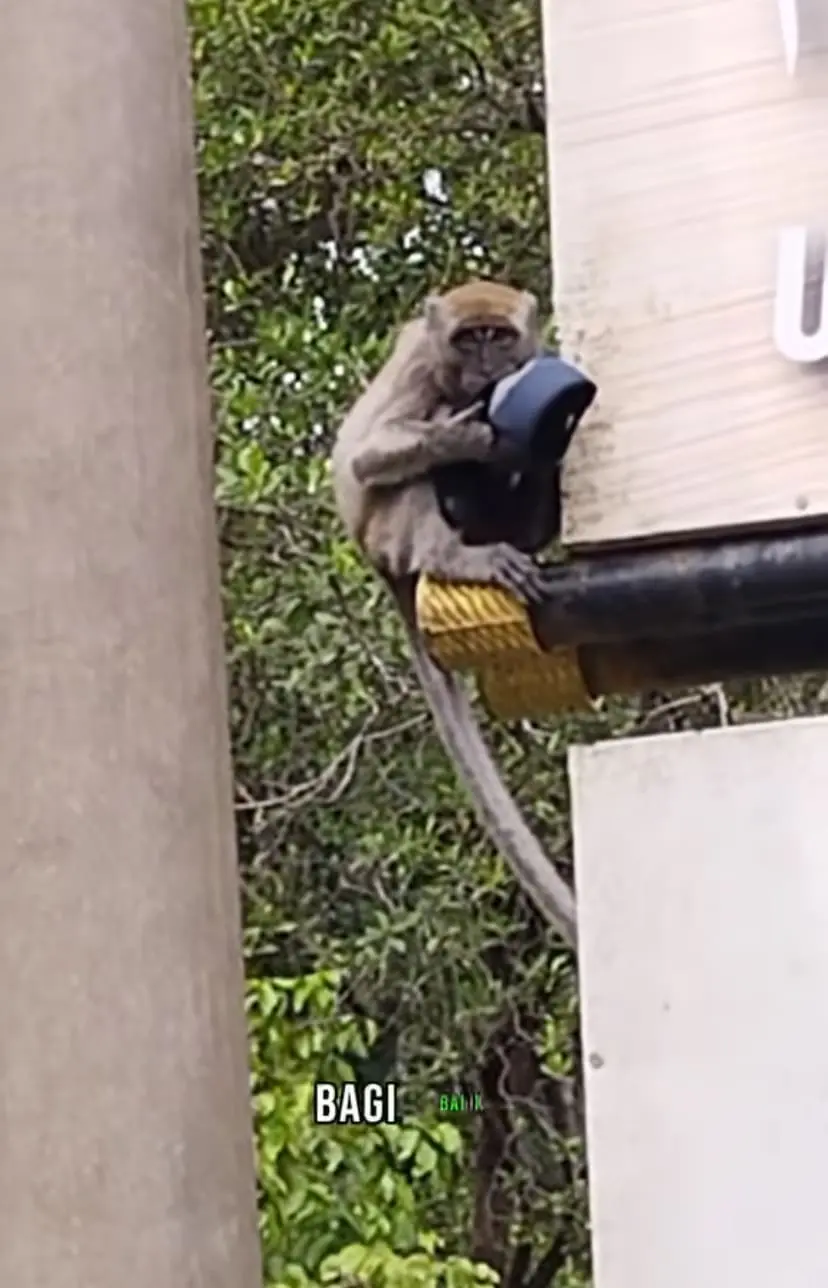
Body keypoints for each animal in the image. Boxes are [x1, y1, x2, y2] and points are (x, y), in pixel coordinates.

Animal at [330, 280, 577, 949]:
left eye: (498, 336)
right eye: (469, 339)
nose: (486, 365)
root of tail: (385, 567)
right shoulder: (421, 365)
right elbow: (365, 457)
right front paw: (464, 437)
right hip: (390, 534)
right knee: (407, 479)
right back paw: (456, 555)